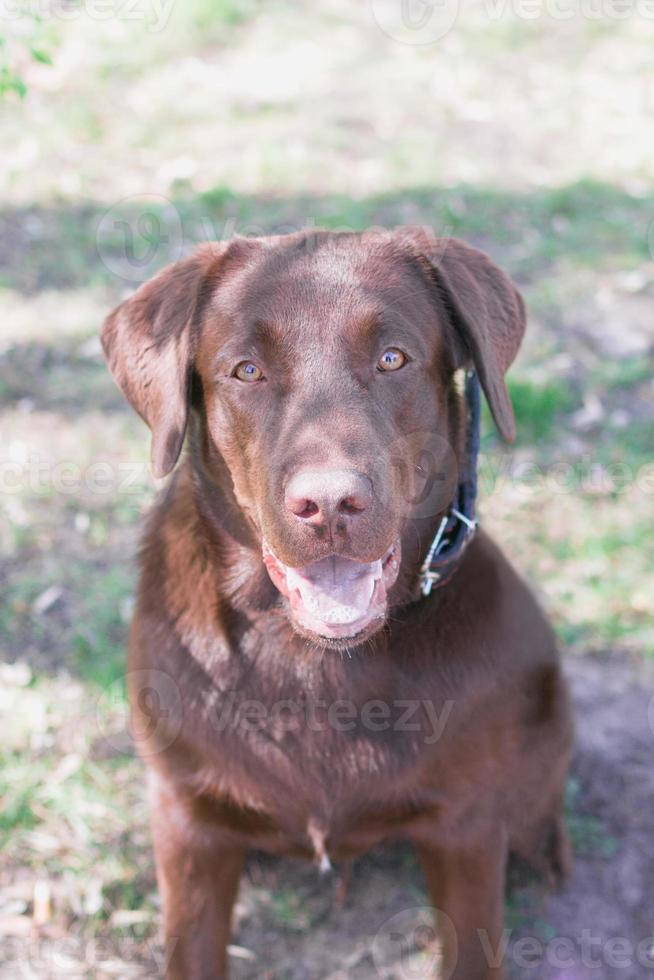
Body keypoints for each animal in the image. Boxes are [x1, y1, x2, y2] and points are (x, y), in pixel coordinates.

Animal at [102, 230, 576, 980]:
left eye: (393, 358)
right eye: (245, 371)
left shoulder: (465, 828)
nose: (329, 504)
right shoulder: (187, 822)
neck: (309, 655)